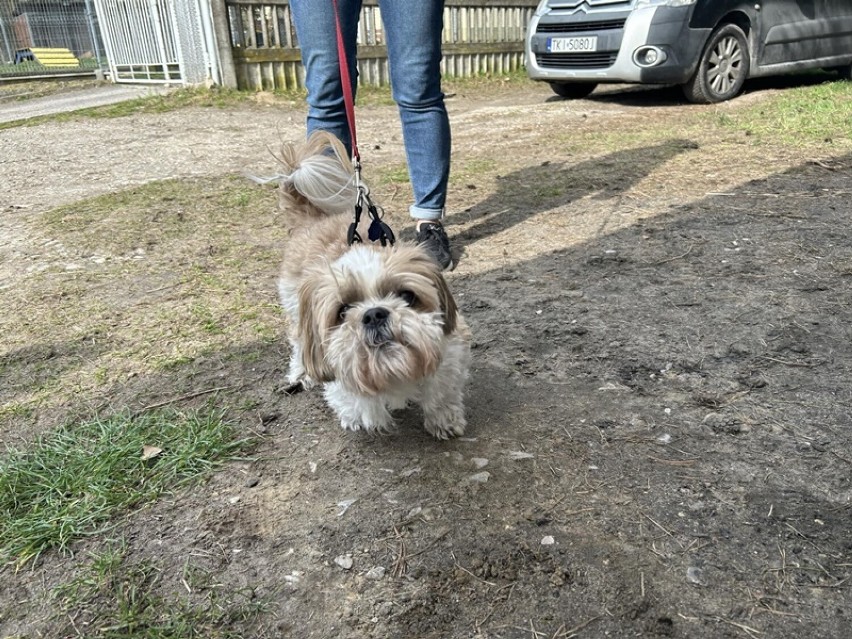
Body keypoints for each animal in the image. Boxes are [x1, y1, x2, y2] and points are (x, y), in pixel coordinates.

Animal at [274, 130, 470, 440]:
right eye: (343, 311)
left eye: (407, 296)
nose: (374, 313)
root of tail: (313, 219)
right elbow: (357, 400)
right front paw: (366, 415)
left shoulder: (450, 349)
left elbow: (440, 391)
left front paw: (444, 419)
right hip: (296, 308)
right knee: (298, 343)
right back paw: (301, 373)